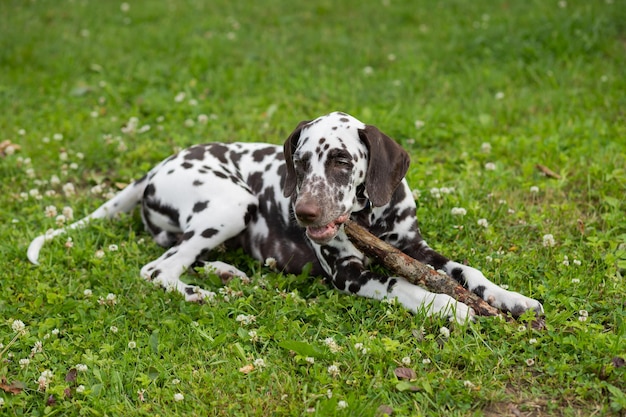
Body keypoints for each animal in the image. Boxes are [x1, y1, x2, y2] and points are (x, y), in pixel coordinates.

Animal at [26, 111, 540, 322]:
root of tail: (155, 168)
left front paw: (511, 298)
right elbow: (406, 286)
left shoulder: (414, 248)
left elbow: (467, 271)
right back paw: (200, 294)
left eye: (340, 160)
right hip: (233, 204)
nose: (303, 211)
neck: (370, 219)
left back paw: (224, 273)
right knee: (159, 269)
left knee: (183, 255)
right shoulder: (350, 275)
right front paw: (449, 307)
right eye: (300, 160)